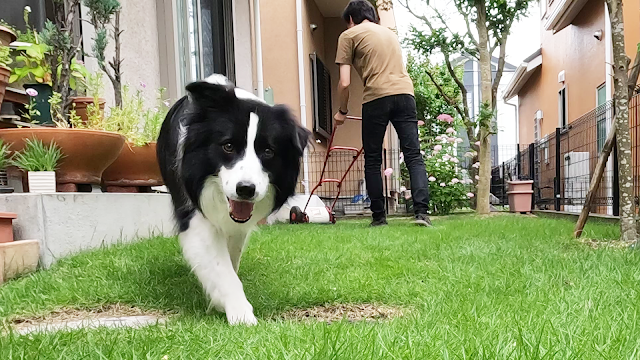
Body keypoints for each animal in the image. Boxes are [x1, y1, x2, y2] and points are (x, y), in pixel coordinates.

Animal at [159, 75, 312, 326]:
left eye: (268, 151)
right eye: (228, 146)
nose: (246, 190)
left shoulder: (238, 228)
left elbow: (231, 259)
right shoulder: (195, 216)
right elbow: (222, 269)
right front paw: (240, 313)